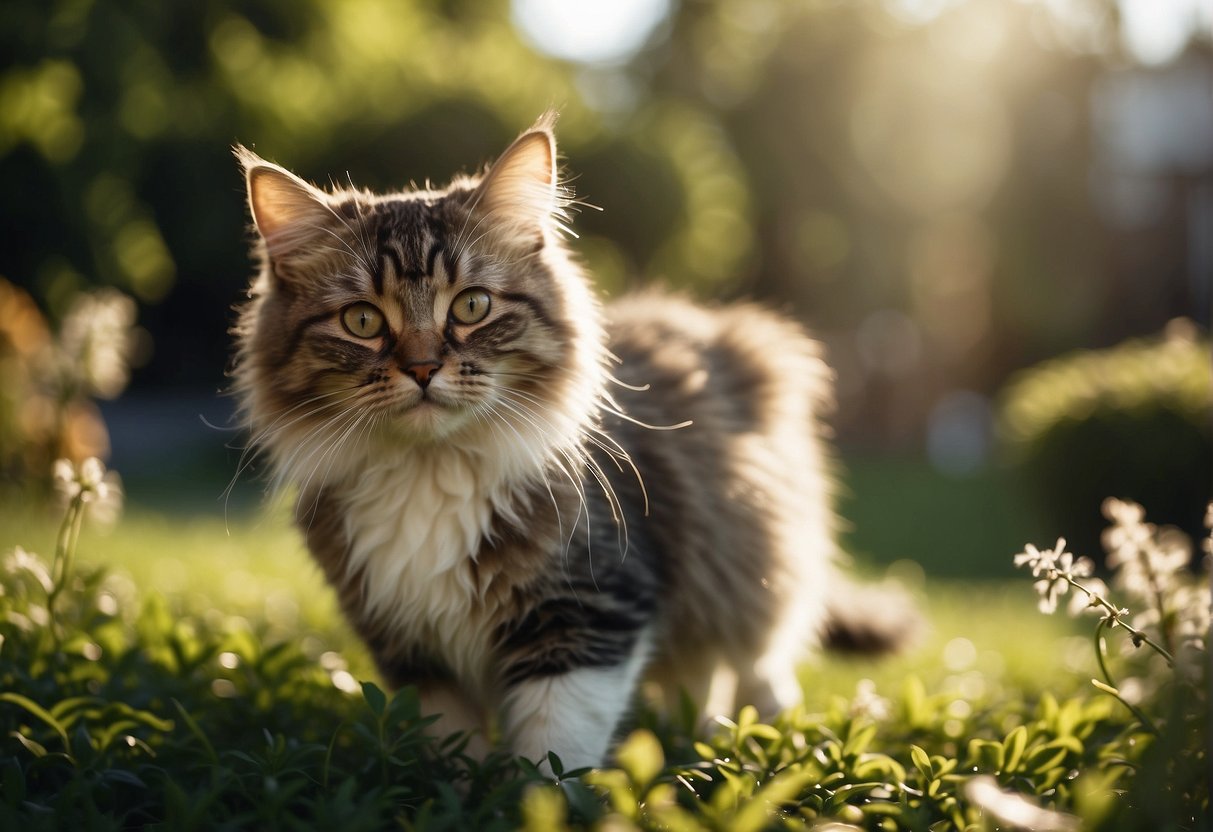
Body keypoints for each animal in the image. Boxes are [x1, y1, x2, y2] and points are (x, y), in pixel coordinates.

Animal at [229, 114, 912, 771]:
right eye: (363, 320)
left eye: (471, 306)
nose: (422, 368)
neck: (431, 472)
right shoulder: (412, 648)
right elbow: (453, 747)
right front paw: (464, 790)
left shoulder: (589, 607)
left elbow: (557, 748)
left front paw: (537, 797)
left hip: (749, 561)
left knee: (753, 658)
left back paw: (752, 734)